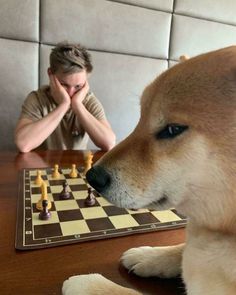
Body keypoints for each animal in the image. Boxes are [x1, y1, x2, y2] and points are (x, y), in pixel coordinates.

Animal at [62, 46, 236, 295]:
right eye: (141, 118)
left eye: (173, 129)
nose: (92, 177)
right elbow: (182, 249)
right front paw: (150, 255)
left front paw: (88, 283)